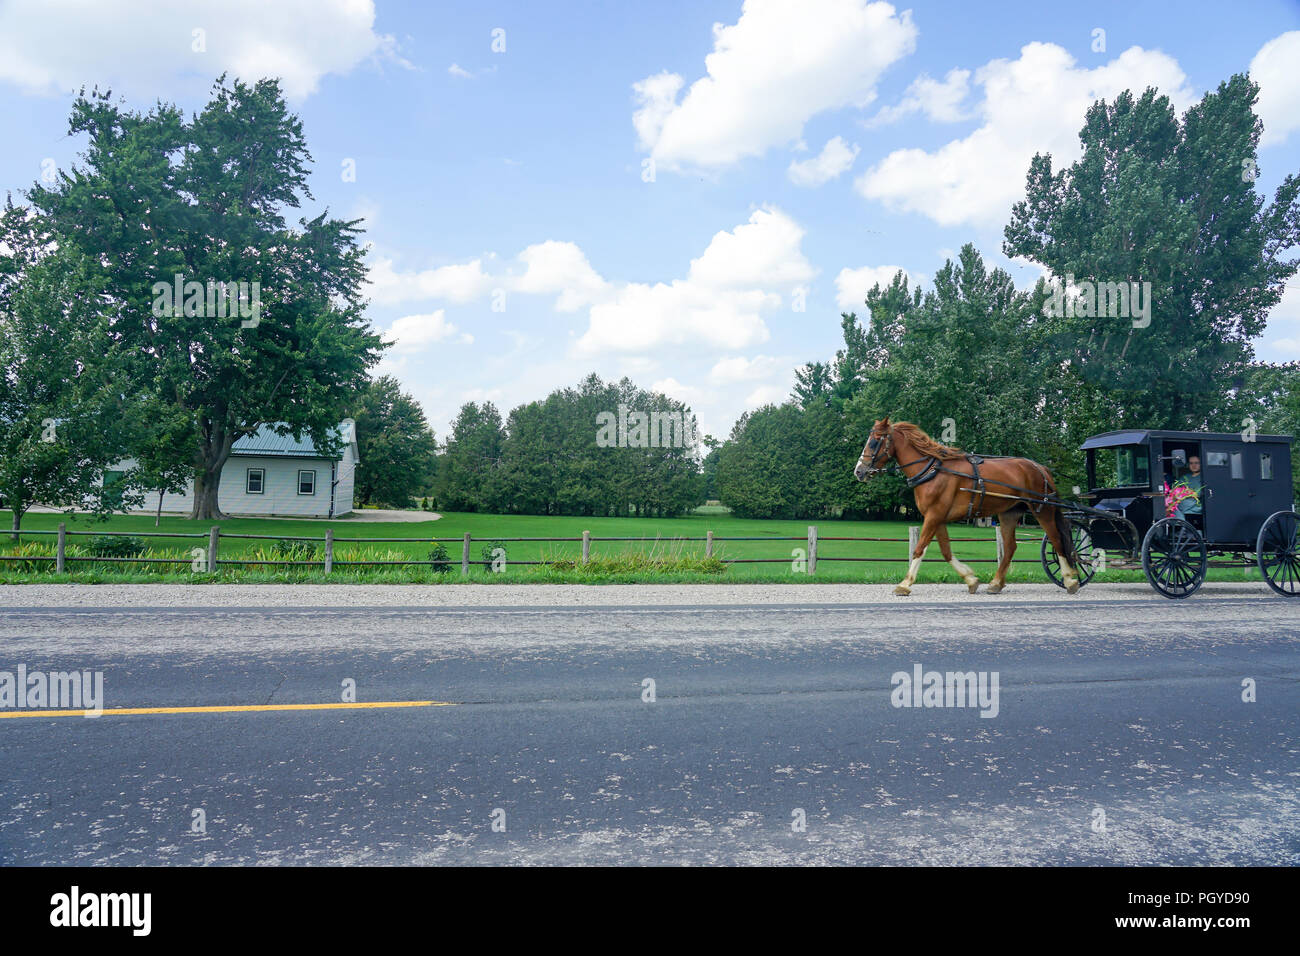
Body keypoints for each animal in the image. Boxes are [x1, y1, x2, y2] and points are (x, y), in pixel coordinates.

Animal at [857, 421, 1081, 598]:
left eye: (875, 441)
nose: (859, 471)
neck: (933, 471)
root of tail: (1040, 468)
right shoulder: (937, 517)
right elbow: (946, 551)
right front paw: (971, 579)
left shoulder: (934, 516)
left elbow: (919, 548)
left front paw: (905, 584)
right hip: (1009, 513)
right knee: (1010, 547)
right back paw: (996, 583)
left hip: (1042, 510)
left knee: (1056, 539)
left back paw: (1070, 579)